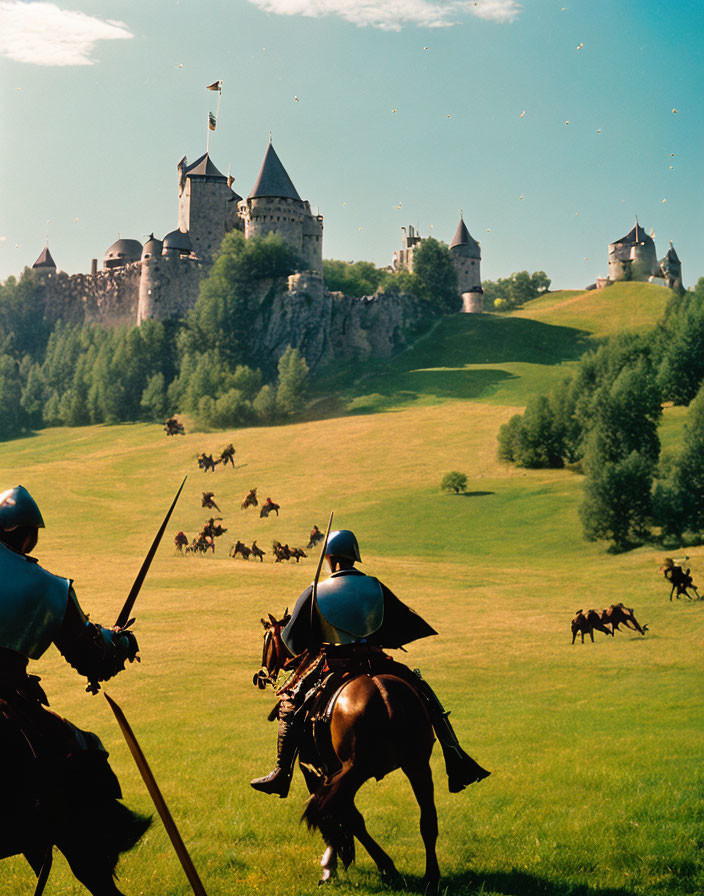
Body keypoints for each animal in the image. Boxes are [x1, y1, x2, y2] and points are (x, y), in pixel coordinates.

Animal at [253, 612, 440, 884]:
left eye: (266, 638)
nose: (262, 673)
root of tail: (385, 698)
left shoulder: (314, 769)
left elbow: (339, 816)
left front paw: (333, 863)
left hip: (355, 770)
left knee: (348, 814)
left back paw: (388, 867)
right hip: (417, 765)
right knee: (428, 818)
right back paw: (431, 876)